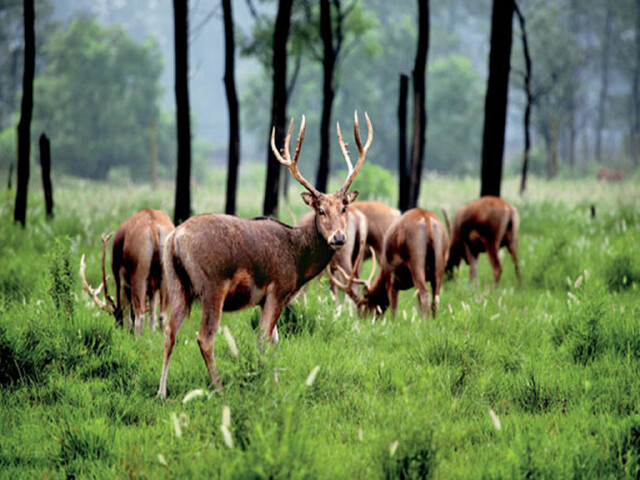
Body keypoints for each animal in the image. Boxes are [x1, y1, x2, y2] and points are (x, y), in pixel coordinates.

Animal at [80, 208, 175, 336]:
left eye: (117, 316)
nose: (116, 327)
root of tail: (153, 226)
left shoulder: (122, 281)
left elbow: (128, 318)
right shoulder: (153, 289)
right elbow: (152, 317)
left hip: (139, 276)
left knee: (140, 316)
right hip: (166, 277)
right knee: (162, 316)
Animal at [157, 112, 372, 398]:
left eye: (344, 208)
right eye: (320, 210)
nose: (338, 238)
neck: (298, 261)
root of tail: (175, 238)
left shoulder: (263, 299)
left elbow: (276, 339)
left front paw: (274, 381)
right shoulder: (278, 288)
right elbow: (263, 338)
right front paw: (260, 382)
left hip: (176, 283)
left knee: (170, 332)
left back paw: (162, 392)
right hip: (212, 285)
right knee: (205, 337)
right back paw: (219, 388)